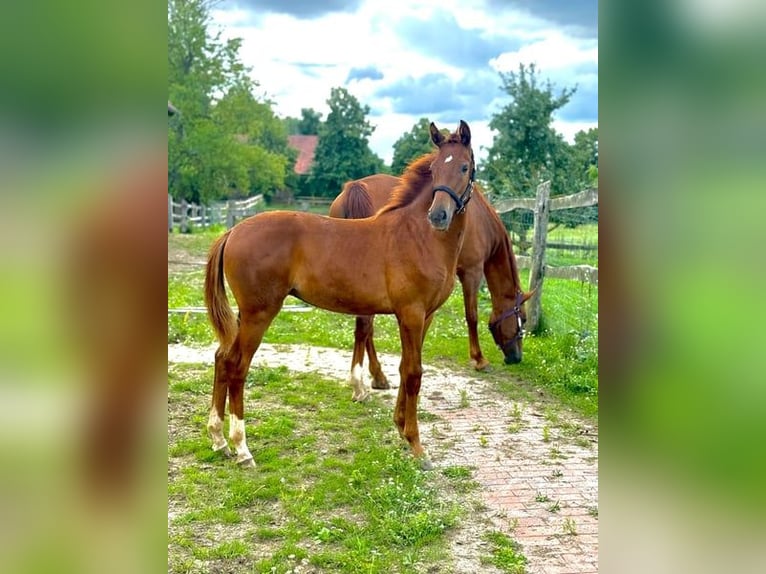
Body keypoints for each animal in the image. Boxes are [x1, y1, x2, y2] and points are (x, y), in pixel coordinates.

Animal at [204, 121, 476, 469]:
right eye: (434, 169)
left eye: (464, 167)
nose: (438, 216)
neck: (418, 237)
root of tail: (233, 231)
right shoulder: (412, 315)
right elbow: (414, 374)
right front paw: (417, 446)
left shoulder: (423, 317)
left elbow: (405, 368)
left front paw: (401, 428)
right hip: (258, 314)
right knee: (237, 367)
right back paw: (242, 448)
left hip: (244, 314)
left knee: (222, 359)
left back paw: (218, 440)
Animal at [328, 173, 533, 388]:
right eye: (523, 318)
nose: (516, 357)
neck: (482, 220)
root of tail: (356, 187)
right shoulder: (472, 271)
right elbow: (472, 316)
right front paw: (479, 359)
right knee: (366, 327)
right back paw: (376, 376)